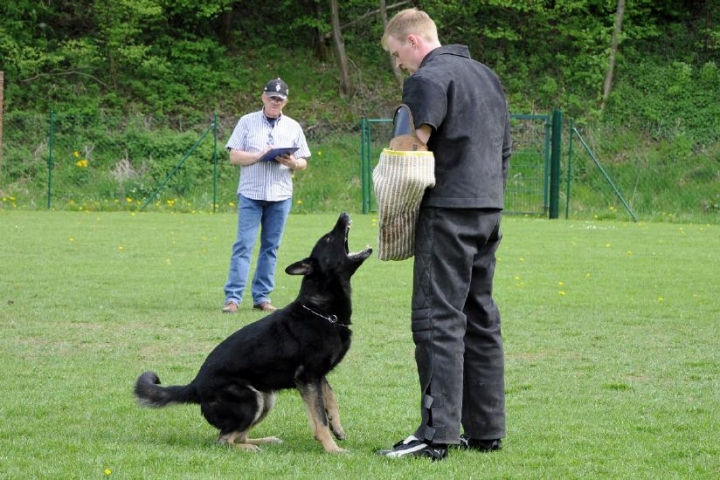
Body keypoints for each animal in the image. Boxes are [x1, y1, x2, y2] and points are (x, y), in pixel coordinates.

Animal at [133, 214, 374, 454]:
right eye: (328, 238)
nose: (343, 215)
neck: (321, 311)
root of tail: (195, 385)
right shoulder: (308, 377)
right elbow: (319, 419)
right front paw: (332, 448)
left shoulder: (318, 375)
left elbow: (331, 399)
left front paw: (338, 427)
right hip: (252, 400)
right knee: (223, 440)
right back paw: (250, 448)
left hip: (266, 398)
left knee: (238, 435)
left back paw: (264, 441)